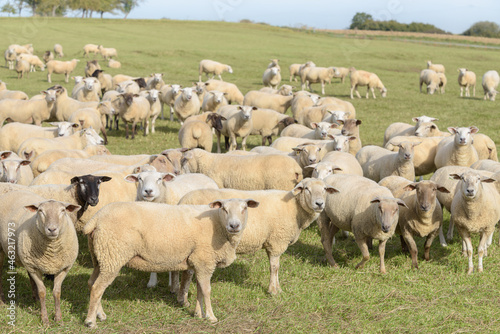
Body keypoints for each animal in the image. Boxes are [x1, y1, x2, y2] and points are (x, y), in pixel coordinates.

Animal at [82, 198, 258, 326]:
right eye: (224, 209)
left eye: (244, 208)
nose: (234, 225)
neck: (218, 225)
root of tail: (96, 218)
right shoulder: (204, 260)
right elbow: (206, 290)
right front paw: (211, 317)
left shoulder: (199, 262)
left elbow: (200, 290)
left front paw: (198, 314)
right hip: (113, 255)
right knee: (98, 288)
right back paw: (91, 321)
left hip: (100, 256)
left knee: (92, 283)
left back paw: (100, 315)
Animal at [179, 179, 336, 294]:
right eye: (306, 189)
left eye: (324, 189)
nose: (319, 204)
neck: (295, 207)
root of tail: (182, 200)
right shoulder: (277, 241)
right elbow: (275, 267)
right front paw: (274, 291)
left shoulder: (272, 242)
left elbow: (276, 267)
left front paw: (277, 288)